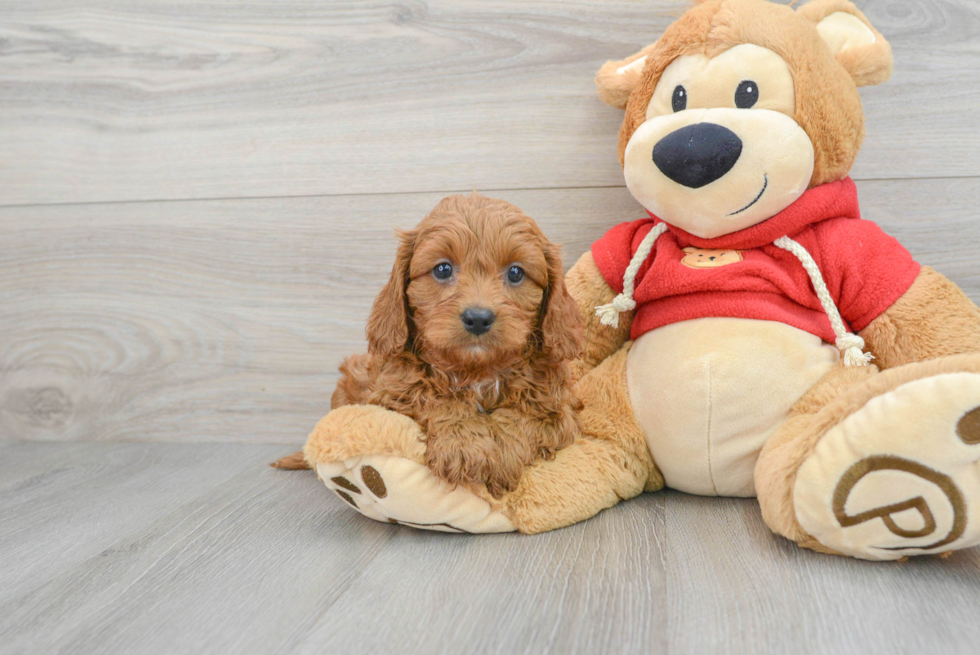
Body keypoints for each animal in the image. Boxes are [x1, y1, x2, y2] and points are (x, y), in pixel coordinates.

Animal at [276, 193, 580, 498]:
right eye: (442, 269)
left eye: (516, 273)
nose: (478, 318)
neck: (476, 371)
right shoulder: (389, 392)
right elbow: (433, 397)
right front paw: (463, 443)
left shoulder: (559, 410)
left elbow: (525, 416)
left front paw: (503, 453)